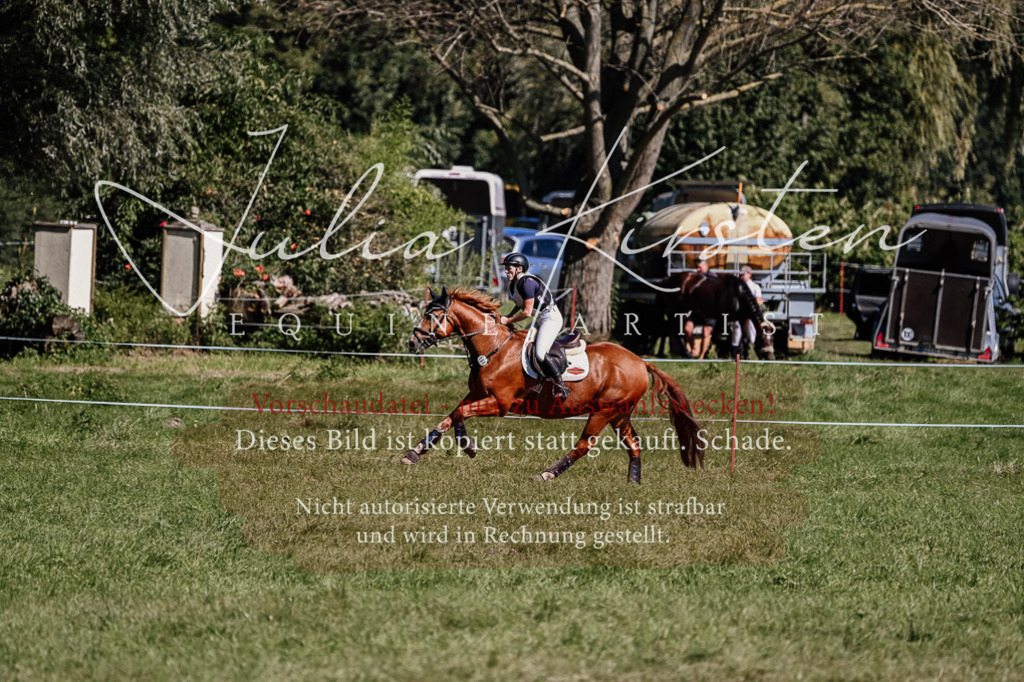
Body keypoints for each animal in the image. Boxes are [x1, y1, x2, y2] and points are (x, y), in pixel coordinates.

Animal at [404, 287, 704, 484]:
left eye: (433, 316)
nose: (411, 343)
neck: (493, 348)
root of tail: (641, 362)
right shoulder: (476, 394)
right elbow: (452, 415)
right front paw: (416, 452)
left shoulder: (500, 403)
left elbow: (459, 414)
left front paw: (467, 447)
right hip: (620, 413)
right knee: (634, 444)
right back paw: (633, 482)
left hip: (603, 411)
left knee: (584, 445)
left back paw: (546, 474)